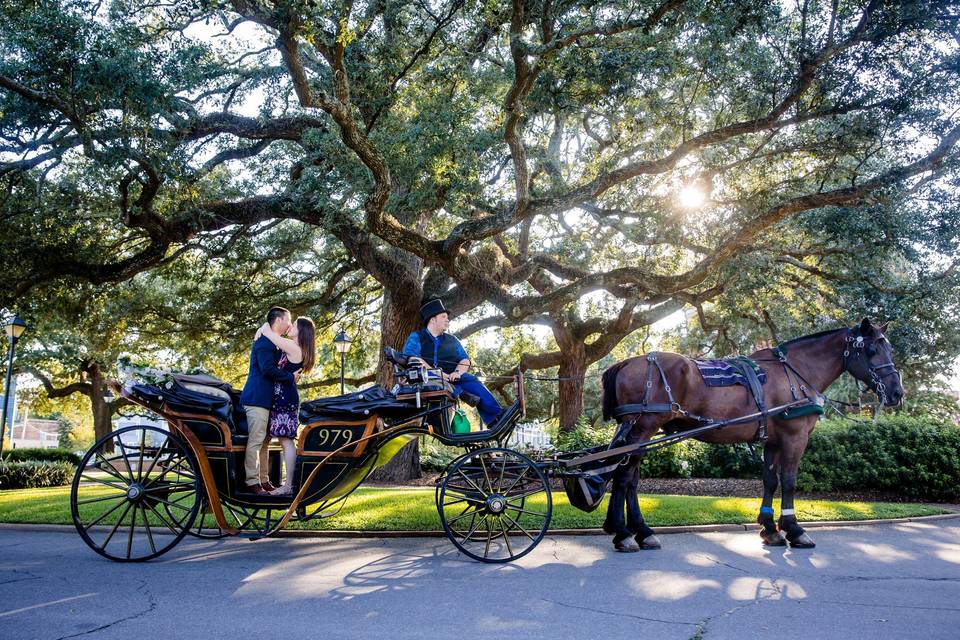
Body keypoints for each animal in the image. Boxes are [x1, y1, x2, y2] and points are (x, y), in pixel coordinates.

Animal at [600, 318, 900, 552]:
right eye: (872, 349)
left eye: (889, 348)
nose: (897, 392)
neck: (795, 373)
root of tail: (628, 362)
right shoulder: (795, 437)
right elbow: (789, 481)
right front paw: (794, 529)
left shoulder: (773, 441)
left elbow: (770, 481)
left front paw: (770, 529)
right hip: (643, 429)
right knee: (624, 476)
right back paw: (625, 534)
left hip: (640, 432)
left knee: (630, 478)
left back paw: (640, 531)